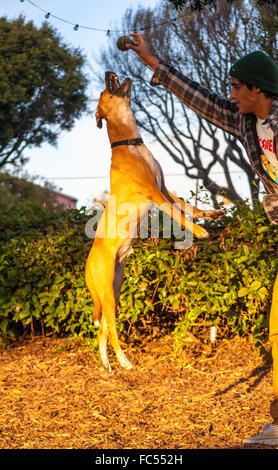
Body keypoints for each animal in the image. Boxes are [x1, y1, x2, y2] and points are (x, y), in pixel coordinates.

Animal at [84, 72, 224, 370]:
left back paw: (108, 365)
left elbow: (188, 206)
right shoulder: (155, 193)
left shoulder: (165, 188)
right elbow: (179, 214)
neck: (130, 144)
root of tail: (87, 268)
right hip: (108, 294)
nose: (108, 73)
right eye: (104, 90)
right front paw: (201, 232)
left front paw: (210, 216)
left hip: (114, 289)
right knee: (113, 331)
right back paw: (124, 361)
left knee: (103, 331)